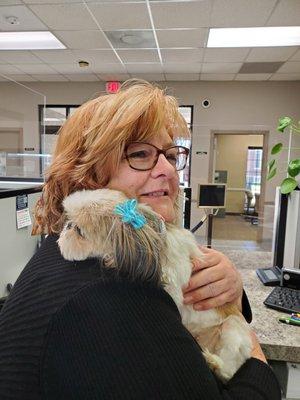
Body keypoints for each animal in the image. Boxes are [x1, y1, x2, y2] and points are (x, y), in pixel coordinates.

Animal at [58, 188, 253, 382]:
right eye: (69, 221)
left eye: (80, 231)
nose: (67, 226)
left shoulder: (175, 282)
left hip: (232, 328)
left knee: (228, 372)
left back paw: (214, 363)